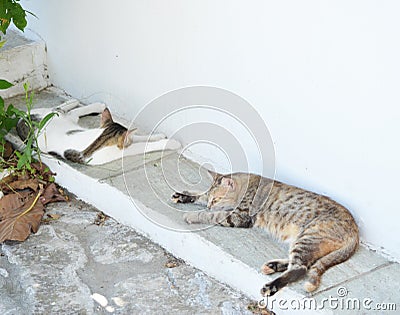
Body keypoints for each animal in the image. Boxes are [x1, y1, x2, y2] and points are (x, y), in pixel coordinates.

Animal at [16, 101, 181, 165]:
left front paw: (158, 135)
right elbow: (144, 145)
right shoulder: (123, 150)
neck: (102, 136)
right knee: (62, 109)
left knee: (66, 109)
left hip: (66, 118)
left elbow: (141, 137)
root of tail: (21, 118)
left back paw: (88, 104)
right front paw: (170, 142)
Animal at [172, 172, 360, 298]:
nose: (210, 205)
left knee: (300, 268)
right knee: (301, 263)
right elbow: (200, 195)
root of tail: (355, 231)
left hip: (308, 237)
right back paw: (273, 266)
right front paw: (184, 195)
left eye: (216, 199)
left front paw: (193, 215)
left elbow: (211, 215)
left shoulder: (239, 217)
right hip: (302, 241)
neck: (248, 186)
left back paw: (271, 286)